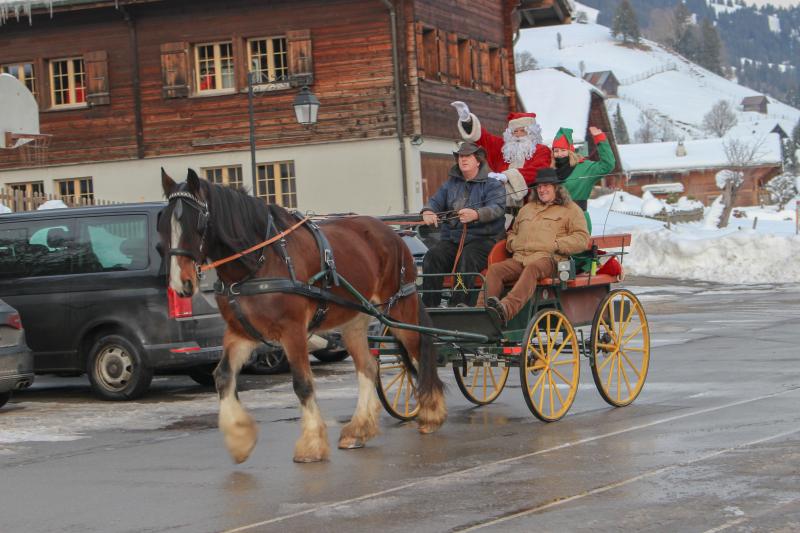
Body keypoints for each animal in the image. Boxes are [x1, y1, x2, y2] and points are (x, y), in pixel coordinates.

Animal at [156, 169, 444, 462]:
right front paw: (239, 438)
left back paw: (431, 414)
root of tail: (393, 234)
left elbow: (302, 384)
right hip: (354, 322)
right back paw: (359, 429)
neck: (259, 263)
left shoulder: (292, 330)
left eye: (196, 225)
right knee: (368, 367)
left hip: (399, 310)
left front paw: (311, 444)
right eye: (163, 227)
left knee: (420, 353)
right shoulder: (240, 332)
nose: (181, 284)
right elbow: (223, 376)